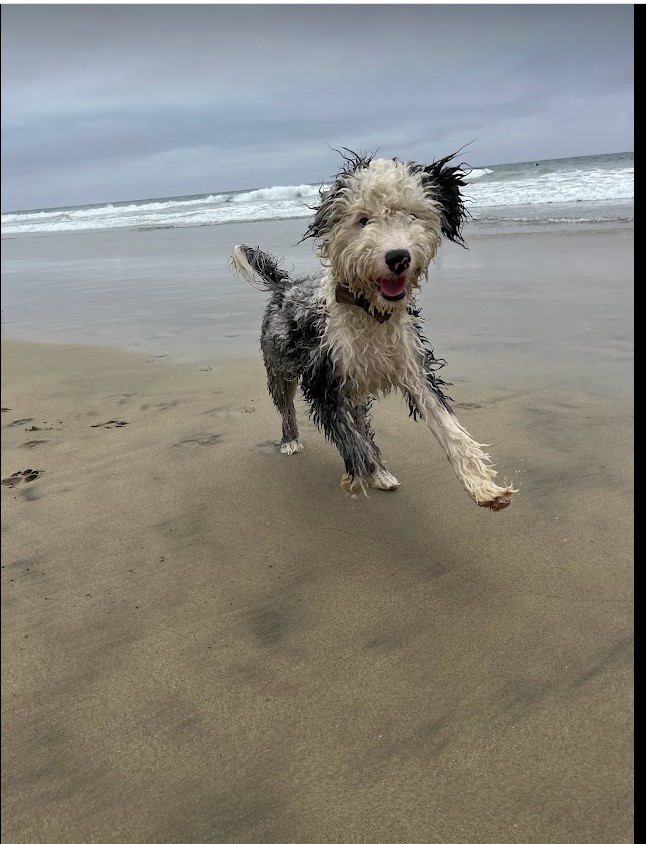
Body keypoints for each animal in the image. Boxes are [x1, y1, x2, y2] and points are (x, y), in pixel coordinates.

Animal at [232, 148, 516, 512]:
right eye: (363, 220)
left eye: (412, 215)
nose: (398, 256)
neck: (369, 312)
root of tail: (285, 285)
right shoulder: (323, 378)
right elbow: (349, 436)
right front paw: (360, 468)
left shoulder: (412, 365)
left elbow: (445, 424)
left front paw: (482, 486)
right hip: (279, 365)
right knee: (287, 406)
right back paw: (292, 441)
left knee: (359, 421)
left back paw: (380, 472)